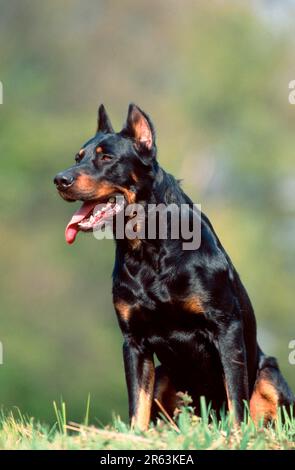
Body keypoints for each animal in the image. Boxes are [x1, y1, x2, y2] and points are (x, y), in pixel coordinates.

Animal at [54, 103, 294, 430]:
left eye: (106, 157)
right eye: (77, 157)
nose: (59, 179)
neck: (147, 249)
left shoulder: (226, 327)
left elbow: (236, 398)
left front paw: (234, 435)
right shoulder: (134, 341)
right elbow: (137, 407)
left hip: (269, 375)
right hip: (164, 377)